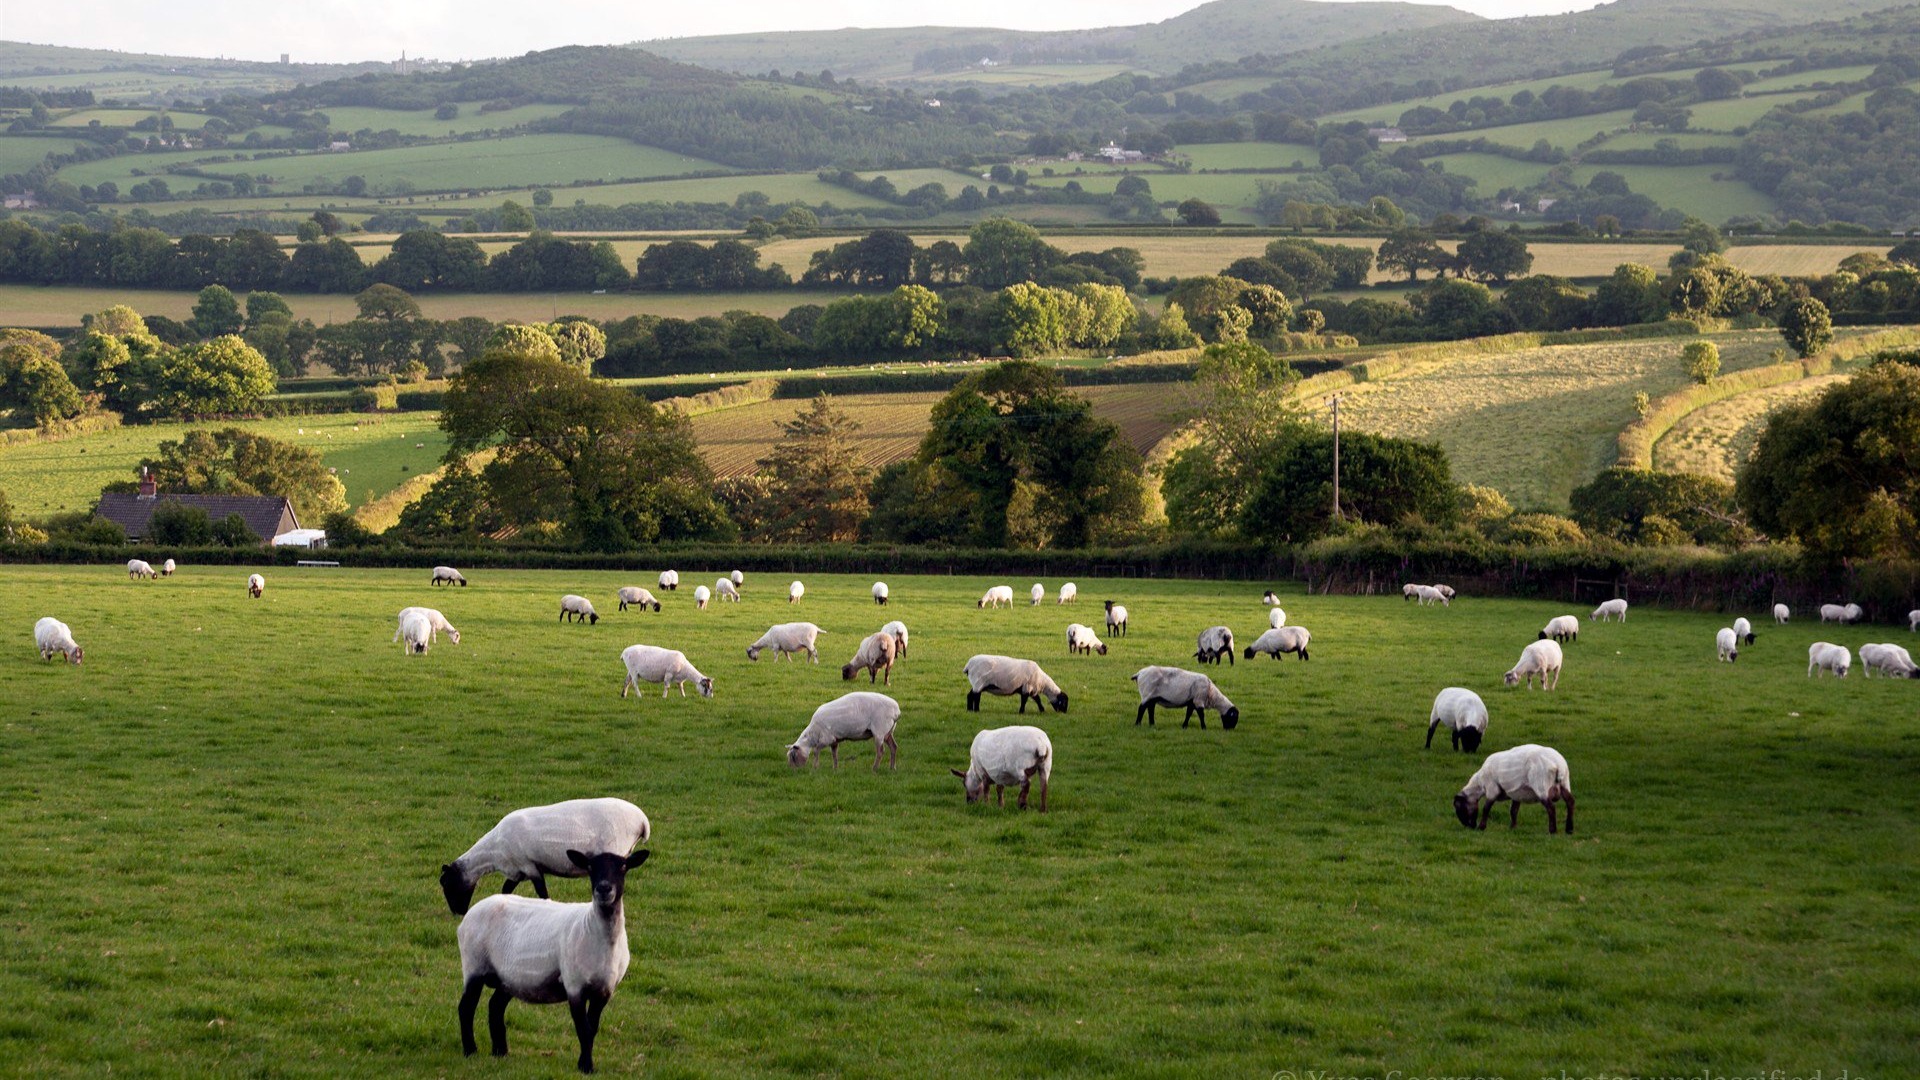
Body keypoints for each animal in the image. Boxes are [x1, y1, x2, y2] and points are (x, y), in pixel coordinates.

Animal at [439, 795, 656, 910]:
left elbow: (542, 892)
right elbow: (506, 889)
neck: (493, 853)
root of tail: (642, 821)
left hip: (613, 852)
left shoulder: (529, 866)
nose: (458, 913)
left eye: (446, 883)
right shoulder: (518, 871)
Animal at [456, 849, 652, 1068]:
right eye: (590, 867)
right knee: (466, 1008)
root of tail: (471, 913)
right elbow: (583, 1029)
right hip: (474, 965)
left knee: (495, 1006)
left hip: (509, 978)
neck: (596, 931)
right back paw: (470, 1051)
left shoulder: (605, 989)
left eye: (623, 866)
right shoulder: (574, 985)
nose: (603, 889)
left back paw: (500, 1052)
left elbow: (592, 1028)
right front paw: (585, 1066)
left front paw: (586, 1064)